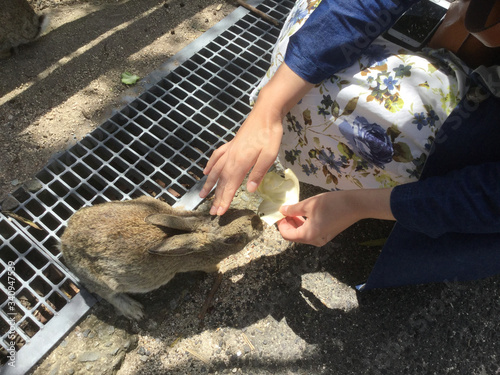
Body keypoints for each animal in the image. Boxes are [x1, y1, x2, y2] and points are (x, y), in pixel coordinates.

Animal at [60, 195, 264, 322]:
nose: (258, 222)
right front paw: (223, 268)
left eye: (232, 211)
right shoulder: (206, 264)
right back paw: (135, 311)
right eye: (232, 239)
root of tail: (64, 242)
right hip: (103, 280)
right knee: (108, 295)